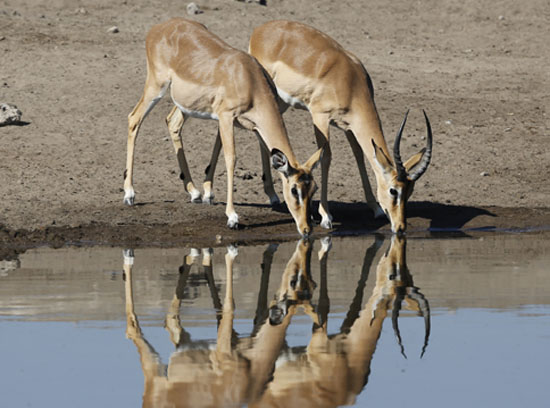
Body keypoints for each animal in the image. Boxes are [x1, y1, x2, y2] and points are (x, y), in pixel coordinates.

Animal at [124, 19, 324, 236]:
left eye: (314, 188)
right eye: (295, 190)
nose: (306, 229)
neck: (248, 79)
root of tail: (160, 27)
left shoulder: (249, 125)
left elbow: (261, 150)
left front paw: (270, 196)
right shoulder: (226, 117)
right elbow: (231, 159)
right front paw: (232, 217)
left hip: (183, 105)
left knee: (172, 122)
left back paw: (194, 192)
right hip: (156, 86)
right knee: (134, 119)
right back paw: (129, 194)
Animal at [247, 20, 436, 233]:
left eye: (410, 192)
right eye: (393, 191)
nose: (400, 226)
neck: (350, 82)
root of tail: (261, 29)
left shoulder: (349, 125)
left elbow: (359, 155)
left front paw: (376, 209)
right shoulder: (320, 118)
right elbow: (326, 158)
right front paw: (326, 217)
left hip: (280, 102)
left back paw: (272, 195)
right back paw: (272, 196)